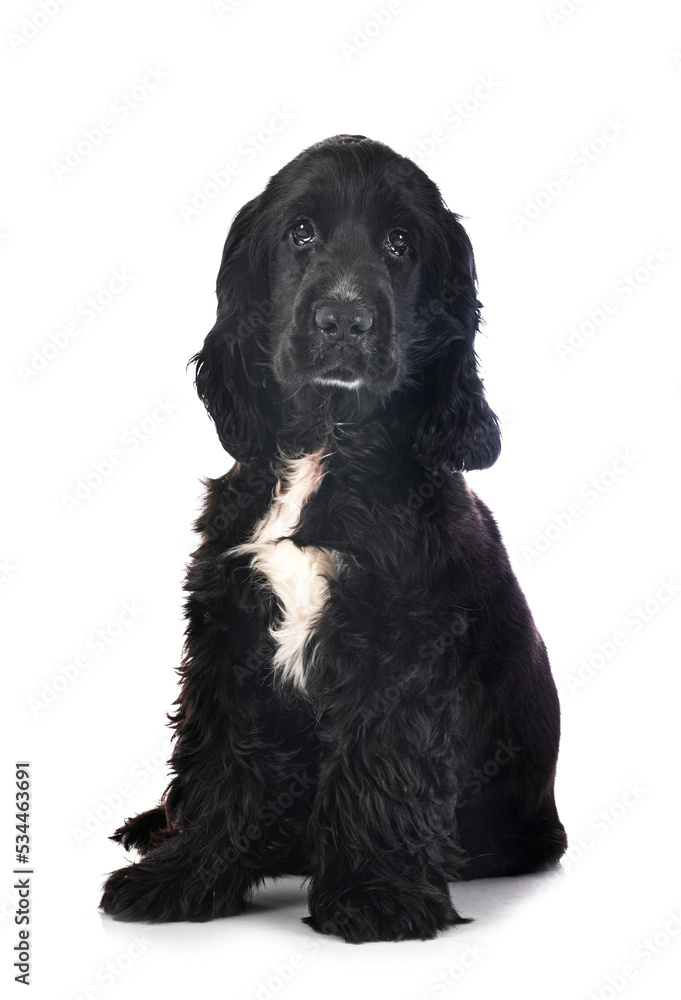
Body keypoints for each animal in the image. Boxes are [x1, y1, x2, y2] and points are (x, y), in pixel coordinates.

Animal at [100, 134, 567, 943]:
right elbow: (222, 761)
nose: (344, 321)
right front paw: (183, 878)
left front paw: (376, 895)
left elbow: (381, 763)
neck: (325, 441)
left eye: (401, 243)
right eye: (301, 232)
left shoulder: (398, 642)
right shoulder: (231, 631)